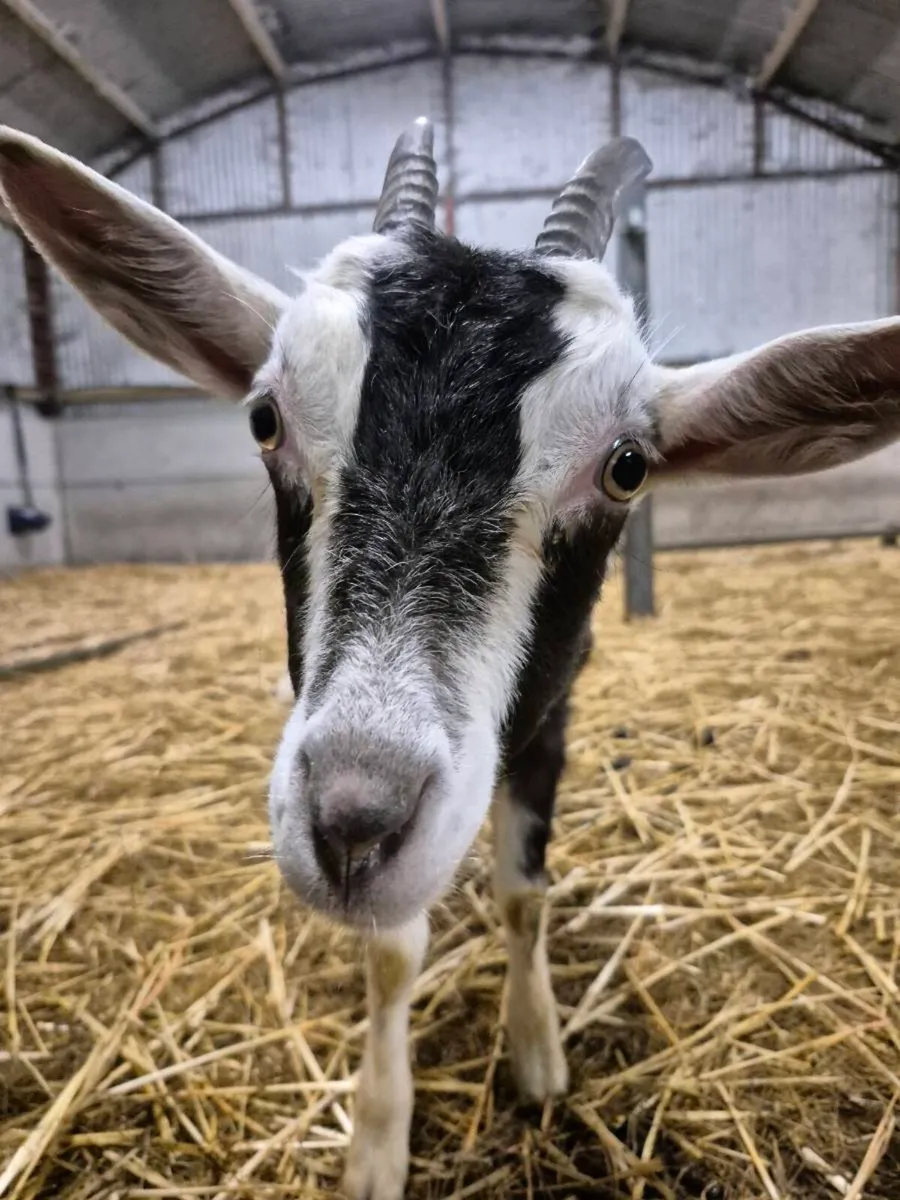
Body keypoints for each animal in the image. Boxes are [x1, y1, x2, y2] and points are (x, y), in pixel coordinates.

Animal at [2, 118, 900, 1200]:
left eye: (628, 467)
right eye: (265, 419)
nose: (354, 821)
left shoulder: (555, 707)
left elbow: (522, 891)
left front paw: (539, 1051)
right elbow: (393, 954)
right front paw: (376, 1140)